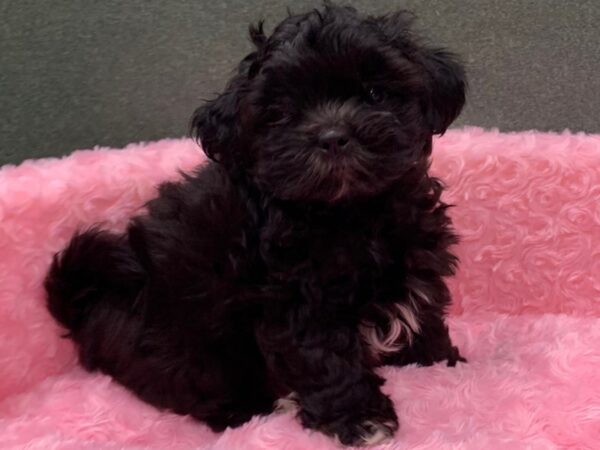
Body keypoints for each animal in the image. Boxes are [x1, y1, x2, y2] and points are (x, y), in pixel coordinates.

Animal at [48, 3, 468, 446]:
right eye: (282, 112)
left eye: (375, 93)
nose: (333, 136)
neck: (349, 211)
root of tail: (90, 305)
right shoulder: (298, 304)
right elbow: (329, 363)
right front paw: (362, 421)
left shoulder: (415, 263)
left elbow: (423, 319)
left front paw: (441, 366)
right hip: (189, 346)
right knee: (209, 394)